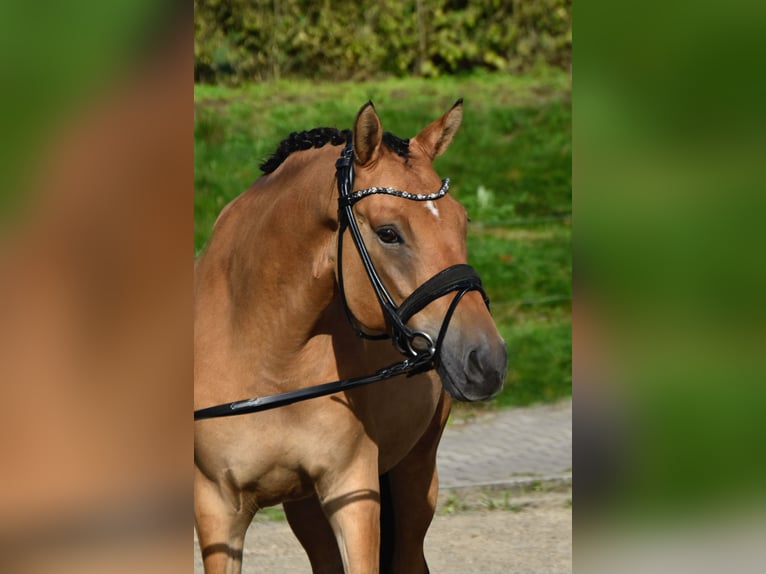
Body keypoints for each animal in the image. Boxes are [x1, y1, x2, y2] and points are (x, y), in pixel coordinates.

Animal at [194, 100, 507, 574]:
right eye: (388, 233)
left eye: (462, 221)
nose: (486, 361)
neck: (266, 358)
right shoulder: (217, 511)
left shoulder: (353, 493)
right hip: (304, 505)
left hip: (415, 473)